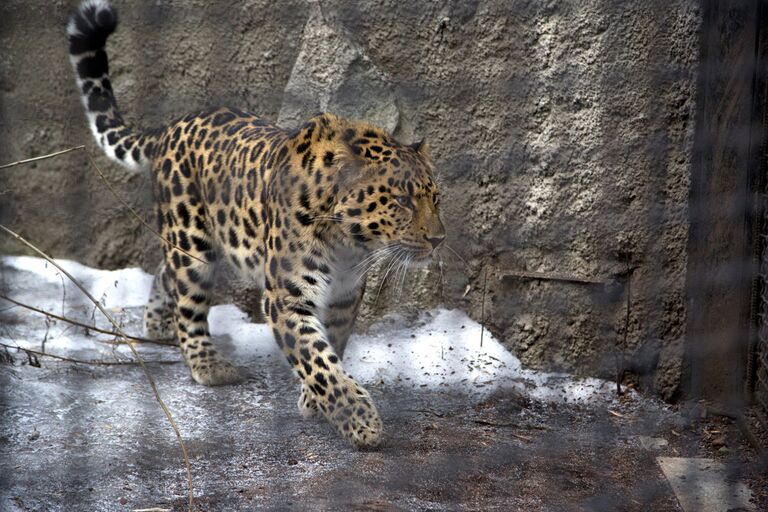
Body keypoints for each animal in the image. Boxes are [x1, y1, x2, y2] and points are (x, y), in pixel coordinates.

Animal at [70, 0, 448, 448]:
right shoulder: (286, 298)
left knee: (166, 272)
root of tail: (171, 127)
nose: (439, 239)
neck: (348, 243)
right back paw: (206, 364)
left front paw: (315, 400)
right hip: (192, 240)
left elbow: (332, 346)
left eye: (435, 198)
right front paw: (359, 420)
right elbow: (316, 359)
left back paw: (158, 323)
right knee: (188, 299)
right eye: (402, 200)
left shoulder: (344, 294)